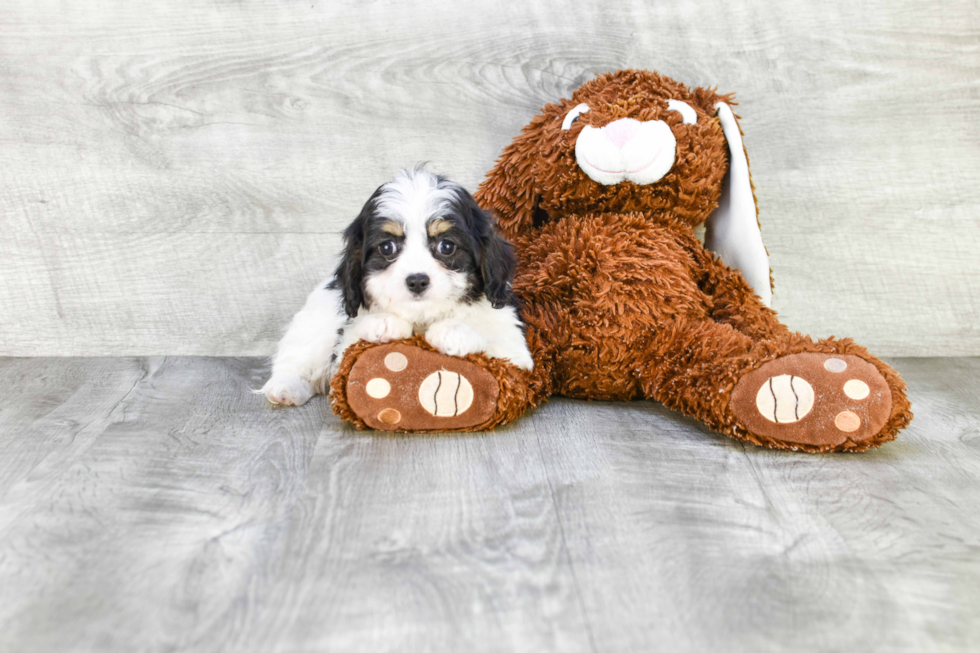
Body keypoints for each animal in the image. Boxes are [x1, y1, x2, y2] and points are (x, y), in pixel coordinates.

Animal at [260, 166, 532, 404]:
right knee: (299, 357)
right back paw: (286, 388)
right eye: (387, 247)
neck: (423, 319)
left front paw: (455, 331)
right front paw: (384, 323)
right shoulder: (346, 341)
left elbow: (497, 346)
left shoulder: (515, 352)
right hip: (315, 321)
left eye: (446, 246)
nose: (417, 281)